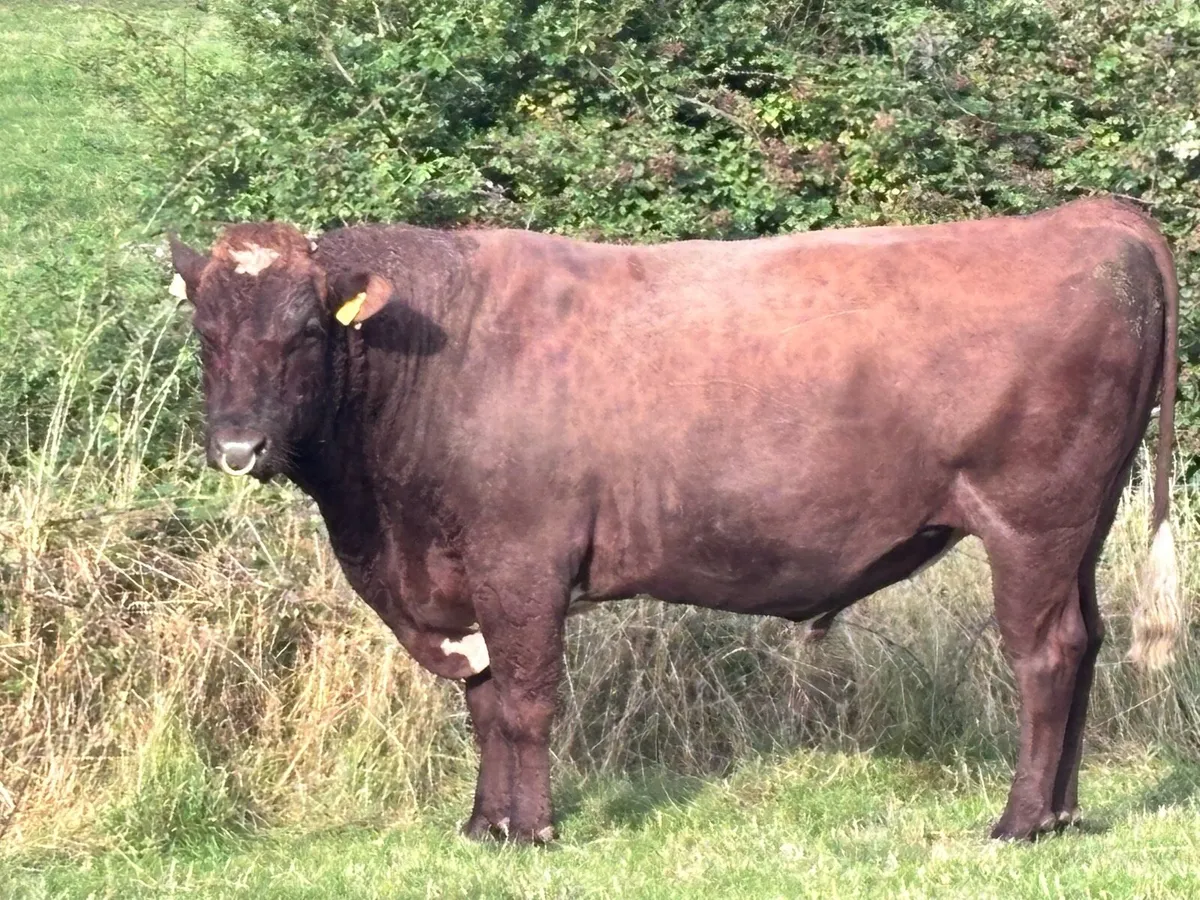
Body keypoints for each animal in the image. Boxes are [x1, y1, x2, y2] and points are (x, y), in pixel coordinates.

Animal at [169, 196, 1179, 844]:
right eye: (206, 334)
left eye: (305, 330)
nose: (239, 446)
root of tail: (1088, 218)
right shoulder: (461, 580)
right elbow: (482, 703)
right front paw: (483, 825)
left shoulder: (521, 561)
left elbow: (525, 700)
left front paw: (532, 830)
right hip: (1082, 529)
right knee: (1085, 643)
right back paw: (1062, 814)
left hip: (1030, 524)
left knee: (1044, 655)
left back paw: (1016, 822)